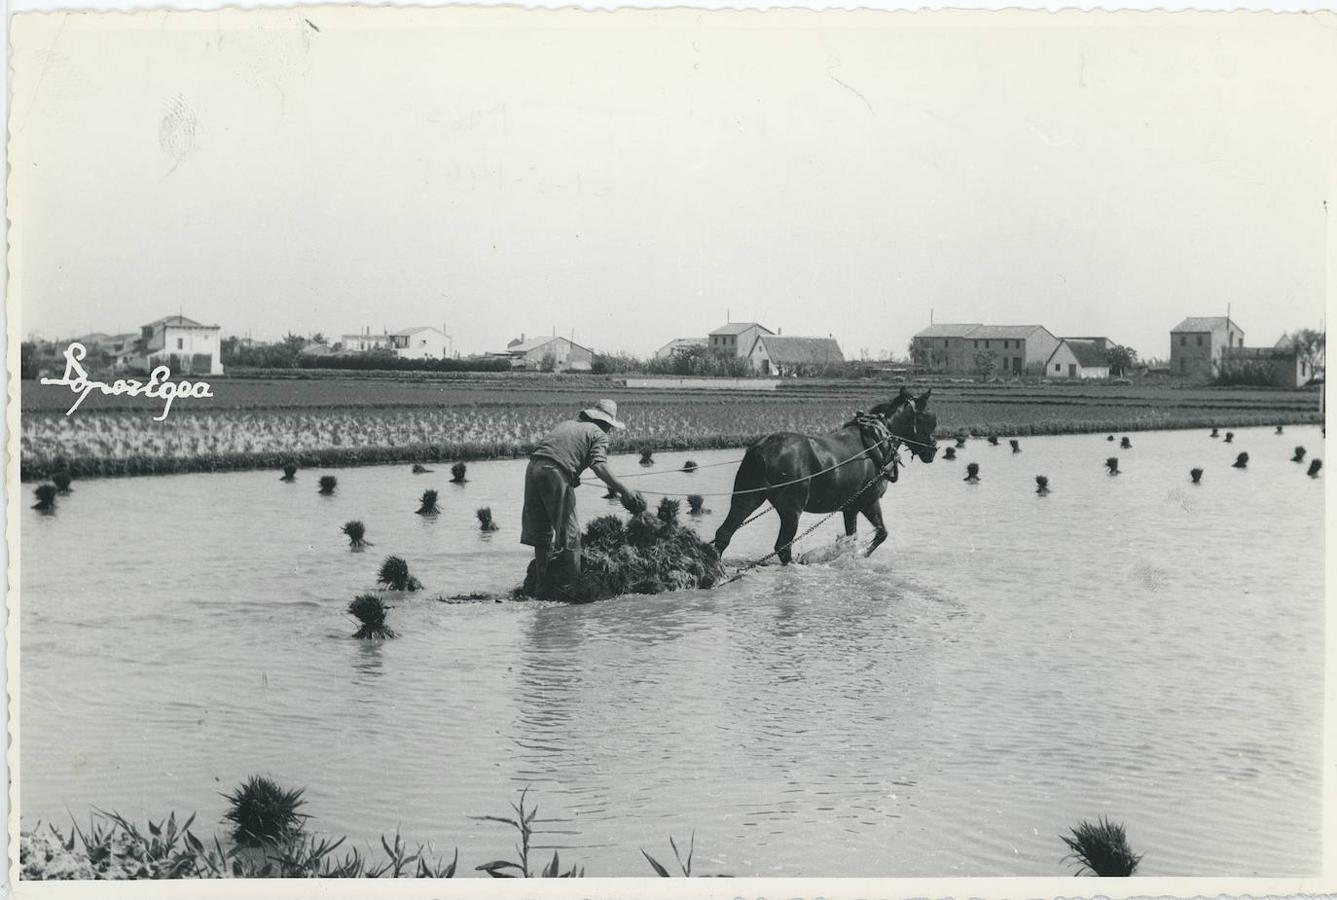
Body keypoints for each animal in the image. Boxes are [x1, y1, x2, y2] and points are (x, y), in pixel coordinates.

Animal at [711, 390, 941, 564]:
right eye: (930, 419)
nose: (933, 449)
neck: (876, 440)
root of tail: (762, 448)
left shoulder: (850, 508)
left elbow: (852, 537)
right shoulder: (869, 501)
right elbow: (881, 534)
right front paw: (859, 555)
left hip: (747, 498)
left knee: (724, 534)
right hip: (791, 509)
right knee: (783, 547)